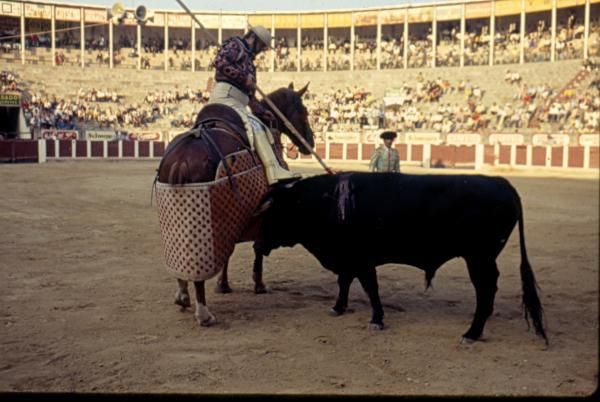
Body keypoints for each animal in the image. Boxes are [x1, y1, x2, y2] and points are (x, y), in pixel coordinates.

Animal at [156, 82, 314, 326]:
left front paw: (223, 284)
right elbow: (257, 246)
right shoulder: (264, 207)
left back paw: (182, 296)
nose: (310, 142)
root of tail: (182, 158)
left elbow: (228, 250)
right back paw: (204, 313)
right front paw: (258, 285)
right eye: (304, 111)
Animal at [258, 171, 548, 344]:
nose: (258, 245)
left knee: (486, 289)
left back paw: (472, 333)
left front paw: (376, 319)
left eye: (270, 212)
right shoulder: (348, 257)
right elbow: (345, 282)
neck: (327, 200)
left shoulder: (362, 259)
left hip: (479, 257)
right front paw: (338, 308)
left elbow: (370, 288)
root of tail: (501, 182)